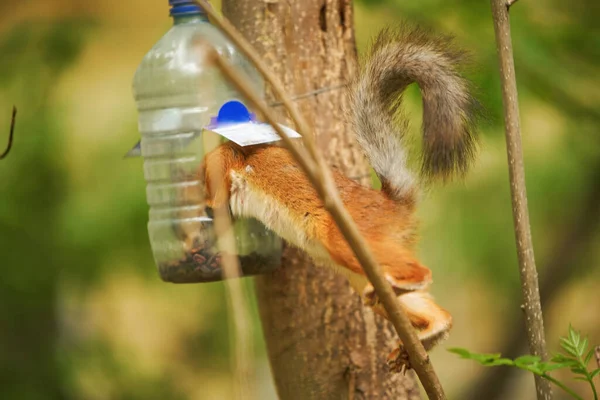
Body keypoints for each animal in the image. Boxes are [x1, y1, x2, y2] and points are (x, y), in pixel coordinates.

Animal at [192, 27, 478, 372]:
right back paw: (430, 332)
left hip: (348, 239)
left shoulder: (223, 169)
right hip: (359, 273)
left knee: (421, 273)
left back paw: (403, 286)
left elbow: (220, 196)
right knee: (438, 312)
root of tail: (393, 204)